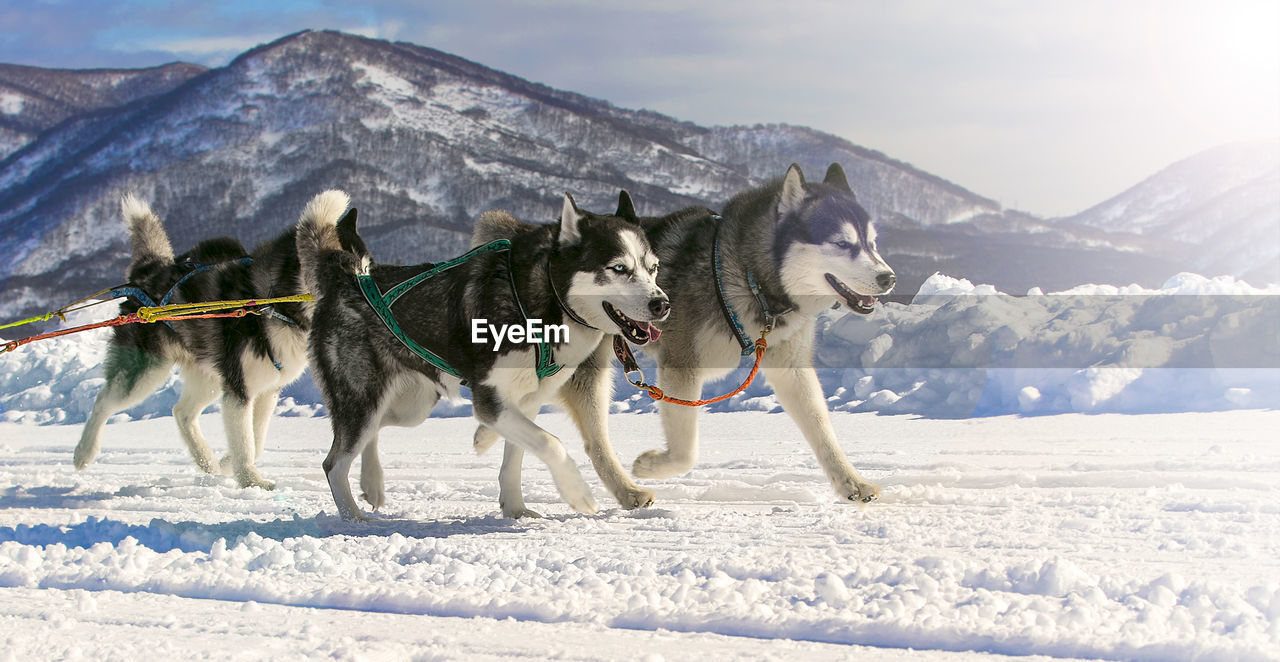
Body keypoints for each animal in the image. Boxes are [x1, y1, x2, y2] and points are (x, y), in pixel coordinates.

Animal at [76, 188, 348, 486]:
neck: (271, 303)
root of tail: (148, 273)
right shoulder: (239, 390)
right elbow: (246, 442)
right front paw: (251, 481)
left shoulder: (266, 389)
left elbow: (256, 439)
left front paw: (229, 463)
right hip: (147, 372)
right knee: (104, 400)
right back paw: (84, 452)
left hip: (209, 377)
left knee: (181, 412)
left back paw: (206, 460)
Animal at [299, 193, 670, 519]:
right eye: (618, 268)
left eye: (653, 268)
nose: (662, 303)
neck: (539, 298)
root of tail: (347, 275)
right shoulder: (491, 399)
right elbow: (551, 443)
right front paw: (576, 492)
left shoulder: (524, 400)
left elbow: (517, 458)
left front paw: (516, 508)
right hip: (365, 397)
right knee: (335, 462)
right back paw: (354, 519)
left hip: (411, 406)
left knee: (372, 432)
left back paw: (371, 483)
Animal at [560, 163, 901, 501]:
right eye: (842, 243)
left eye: (872, 243)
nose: (889, 278)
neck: (748, 278)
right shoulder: (681, 364)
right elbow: (686, 453)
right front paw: (651, 465)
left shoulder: (791, 366)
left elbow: (821, 428)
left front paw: (851, 482)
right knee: (595, 440)